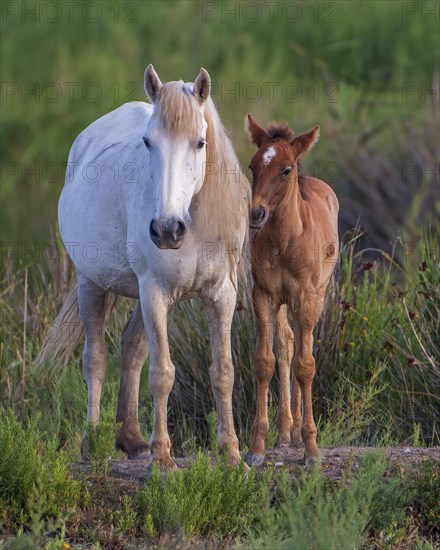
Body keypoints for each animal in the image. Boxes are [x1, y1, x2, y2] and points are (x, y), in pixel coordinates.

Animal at [39, 64, 249, 470]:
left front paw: (232, 455)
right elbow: (162, 374)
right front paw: (163, 458)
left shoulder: (221, 296)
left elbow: (223, 372)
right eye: (148, 143)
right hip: (91, 284)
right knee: (95, 359)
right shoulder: (155, 293)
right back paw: (92, 442)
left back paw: (132, 439)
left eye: (200, 142)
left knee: (131, 348)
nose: (167, 229)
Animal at [242, 115, 338, 466]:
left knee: (298, 348)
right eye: (253, 164)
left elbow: (305, 366)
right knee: (287, 344)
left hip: (315, 295)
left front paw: (311, 448)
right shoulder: (264, 296)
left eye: (285, 169)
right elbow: (265, 361)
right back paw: (286, 431)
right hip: (284, 303)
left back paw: (297, 432)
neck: (285, 242)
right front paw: (256, 447)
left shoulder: (306, 299)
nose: (256, 213)